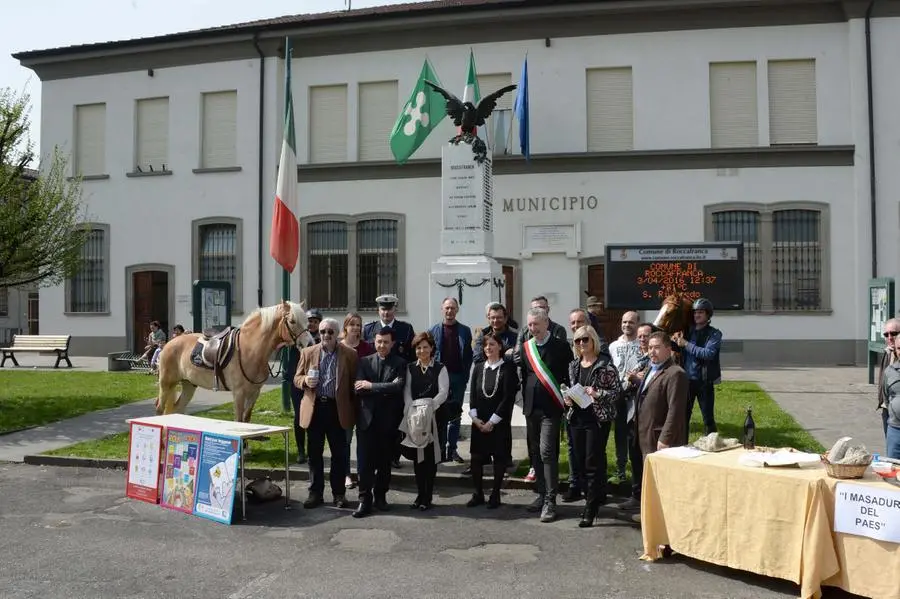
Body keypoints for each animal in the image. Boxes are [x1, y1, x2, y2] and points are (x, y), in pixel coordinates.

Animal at [153, 298, 312, 422]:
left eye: (307, 321)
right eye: (292, 321)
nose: (310, 343)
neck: (250, 349)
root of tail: (169, 343)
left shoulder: (254, 393)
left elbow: (246, 419)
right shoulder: (239, 393)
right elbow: (238, 420)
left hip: (188, 384)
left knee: (177, 409)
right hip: (166, 384)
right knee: (160, 410)